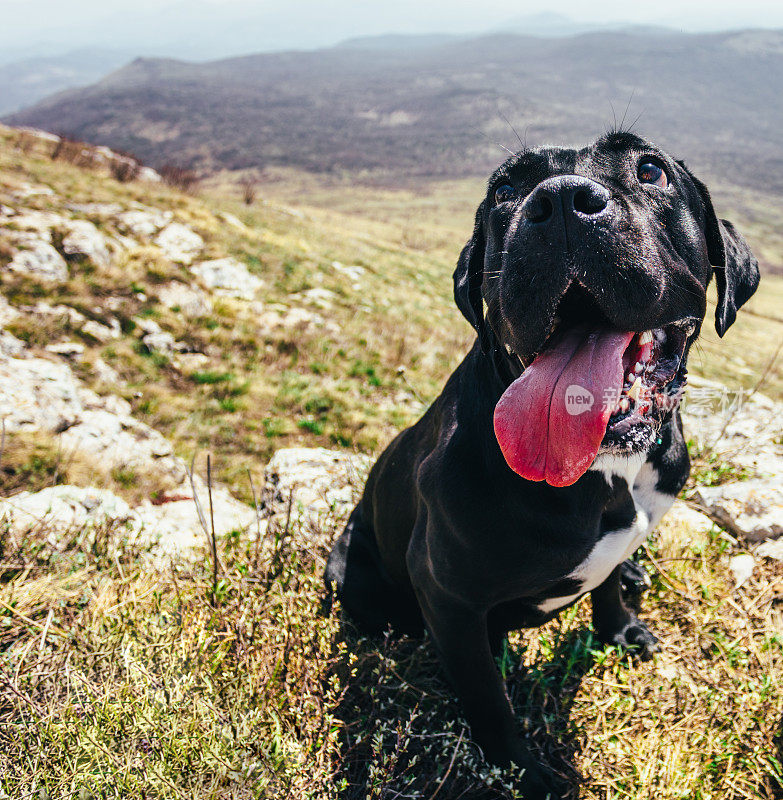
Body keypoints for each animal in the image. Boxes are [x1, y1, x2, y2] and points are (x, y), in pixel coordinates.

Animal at [324, 134, 760, 796]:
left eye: (650, 169)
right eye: (505, 190)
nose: (559, 203)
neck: (609, 470)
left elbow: (607, 584)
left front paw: (620, 628)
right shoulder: (449, 599)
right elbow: (488, 698)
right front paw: (522, 772)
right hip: (356, 576)